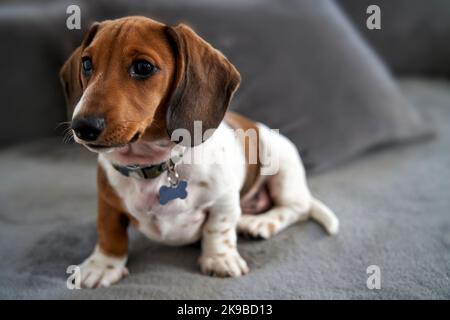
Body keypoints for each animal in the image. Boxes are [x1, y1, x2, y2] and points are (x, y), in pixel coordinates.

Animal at [60, 16, 342, 288]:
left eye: (143, 67)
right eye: (87, 64)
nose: (83, 126)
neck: (156, 163)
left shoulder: (224, 200)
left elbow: (218, 228)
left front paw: (220, 258)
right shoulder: (108, 202)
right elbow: (110, 232)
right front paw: (103, 265)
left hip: (283, 171)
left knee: (296, 208)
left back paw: (259, 222)